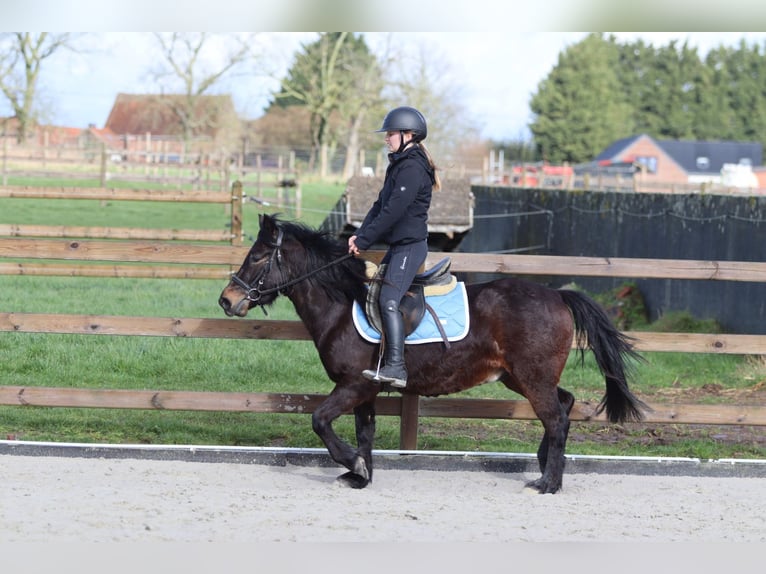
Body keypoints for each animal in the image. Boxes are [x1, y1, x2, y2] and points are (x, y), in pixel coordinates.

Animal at [218, 213, 647, 494]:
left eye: (258, 257)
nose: (227, 300)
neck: (342, 303)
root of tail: (557, 294)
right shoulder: (363, 389)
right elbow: (364, 432)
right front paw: (360, 475)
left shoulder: (353, 385)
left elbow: (320, 421)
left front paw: (352, 464)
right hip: (521, 377)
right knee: (565, 405)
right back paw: (545, 466)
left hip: (532, 378)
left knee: (556, 419)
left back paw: (548, 483)